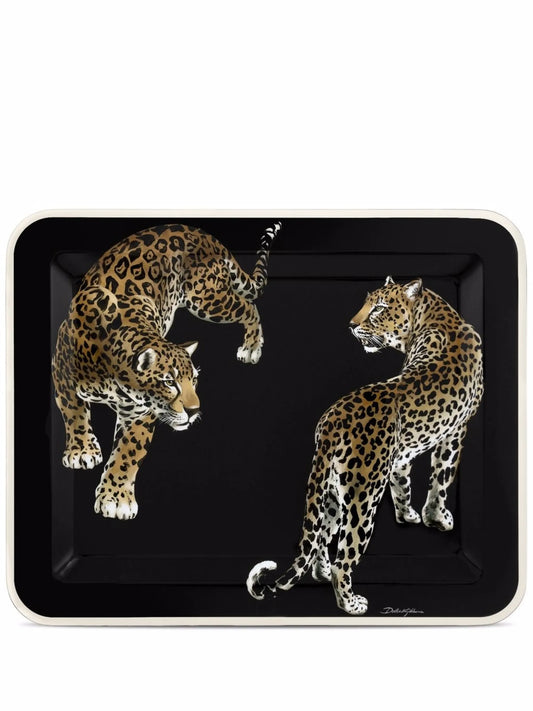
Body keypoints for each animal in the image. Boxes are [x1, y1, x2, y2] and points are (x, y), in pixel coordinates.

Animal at [52, 221, 281, 520]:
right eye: (169, 382)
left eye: (194, 380)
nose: (194, 411)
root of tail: (199, 232)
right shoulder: (61, 365)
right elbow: (73, 410)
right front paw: (81, 450)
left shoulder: (140, 411)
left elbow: (128, 451)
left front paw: (116, 498)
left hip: (206, 298)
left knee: (248, 306)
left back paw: (252, 347)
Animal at [247, 276, 484, 615]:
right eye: (365, 304)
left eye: (379, 308)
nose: (351, 325)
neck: (437, 316)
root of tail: (332, 420)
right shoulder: (456, 432)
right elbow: (442, 479)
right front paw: (438, 518)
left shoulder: (402, 454)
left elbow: (404, 481)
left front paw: (408, 515)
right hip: (365, 494)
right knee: (345, 556)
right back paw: (351, 603)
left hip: (333, 489)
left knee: (321, 535)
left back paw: (320, 573)